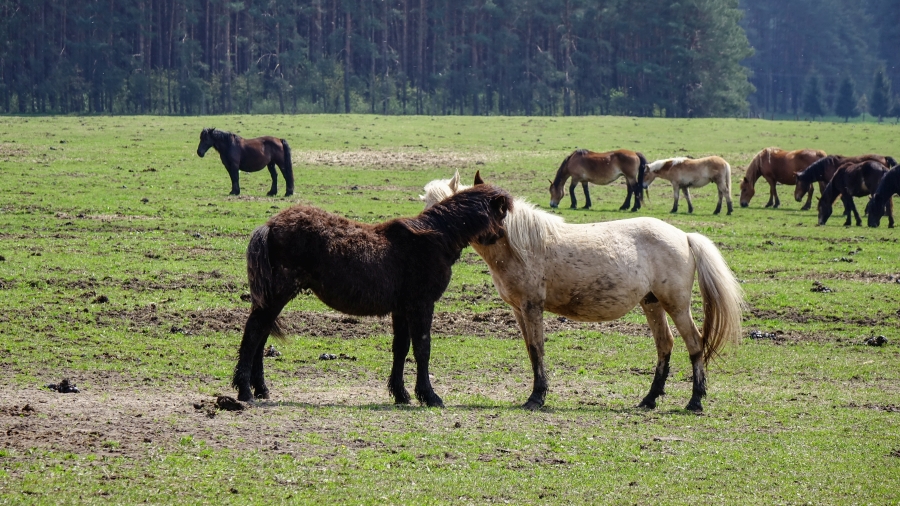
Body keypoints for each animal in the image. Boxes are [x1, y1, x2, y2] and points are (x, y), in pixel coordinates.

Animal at [232, 184, 512, 406]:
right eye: (502, 213)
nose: (501, 236)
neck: (436, 238)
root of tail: (270, 225)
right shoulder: (421, 305)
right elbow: (422, 348)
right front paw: (429, 396)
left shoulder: (401, 309)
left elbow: (401, 348)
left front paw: (401, 395)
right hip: (277, 296)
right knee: (254, 333)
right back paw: (245, 392)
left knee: (261, 335)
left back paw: (261, 389)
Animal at [424, 171, 744, 412]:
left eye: (455, 206)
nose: (431, 236)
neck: (520, 245)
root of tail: (684, 236)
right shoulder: (518, 309)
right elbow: (530, 349)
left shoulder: (531, 306)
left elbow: (537, 348)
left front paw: (536, 397)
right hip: (651, 303)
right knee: (665, 344)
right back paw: (649, 399)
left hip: (675, 305)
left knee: (695, 343)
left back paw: (695, 401)